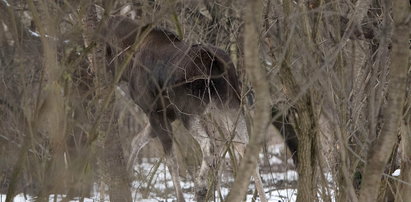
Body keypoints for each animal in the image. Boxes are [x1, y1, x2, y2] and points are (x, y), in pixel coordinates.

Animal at [102, 16, 270, 202]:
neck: (128, 62)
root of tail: (213, 61)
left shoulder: (155, 112)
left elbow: (171, 161)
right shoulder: (168, 114)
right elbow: (137, 140)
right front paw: (128, 178)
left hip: (189, 110)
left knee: (209, 146)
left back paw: (201, 187)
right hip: (229, 105)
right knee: (245, 148)